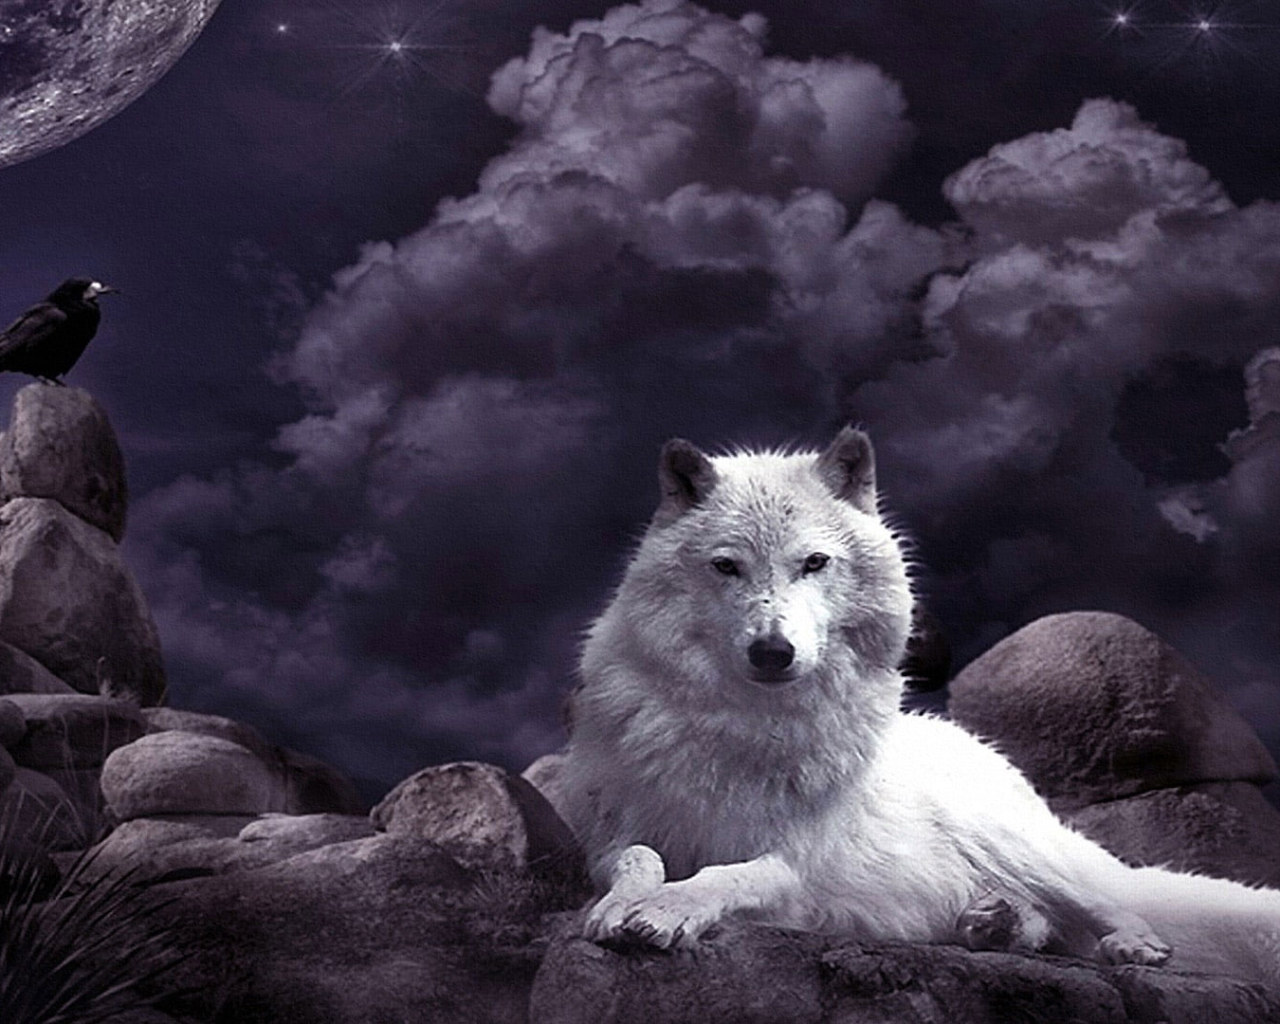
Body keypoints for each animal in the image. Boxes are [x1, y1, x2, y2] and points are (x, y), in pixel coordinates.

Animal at [557, 426, 1280, 986]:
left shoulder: (796, 866)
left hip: (1010, 839)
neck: (746, 728)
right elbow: (638, 860)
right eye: (726, 566)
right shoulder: (611, 834)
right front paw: (621, 906)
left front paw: (666, 911)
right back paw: (993, 923)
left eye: (814, 562)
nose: (773, 651)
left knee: (1103, 902)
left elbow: (725, 875)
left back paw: (1128, 941)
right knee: (1048, 924)